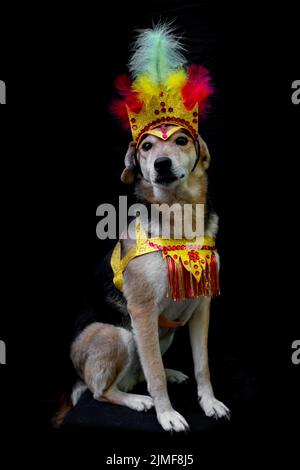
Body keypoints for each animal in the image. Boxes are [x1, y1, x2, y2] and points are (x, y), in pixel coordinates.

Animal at [54, 126, 230, 434]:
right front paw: (167, 415)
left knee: (140, 372)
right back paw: (139, 401)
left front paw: (210, 403)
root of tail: (77, 374)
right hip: (118, 334)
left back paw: (169, 375)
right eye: (146, 146)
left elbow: (202, 365)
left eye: (181, 141)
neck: (179, 216)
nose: (161, 164)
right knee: (102, 391)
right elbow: (154, 373)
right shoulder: (143, 310)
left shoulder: (202, 307)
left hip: (166, 334)